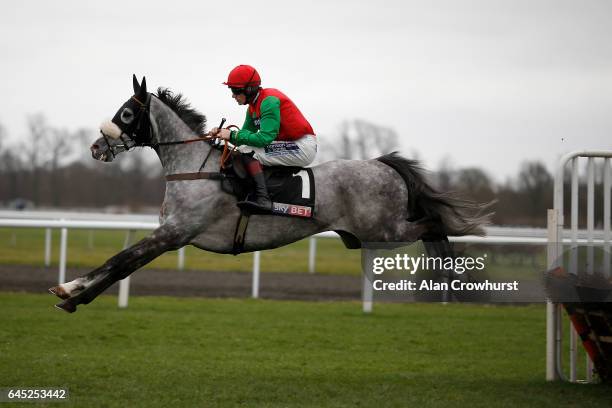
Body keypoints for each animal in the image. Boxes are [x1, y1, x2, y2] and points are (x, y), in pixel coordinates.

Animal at [47, 75, 490, 312]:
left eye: (126, 113)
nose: (96, 147)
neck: (195, 167)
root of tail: (382, 164)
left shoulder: (176, 233)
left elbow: (122, 260)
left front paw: (69, 290)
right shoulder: (173, 235)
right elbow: (125, 263)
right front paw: (72, 295)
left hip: (384, 230)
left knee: (433, 223)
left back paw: (454, 275)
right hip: (366, 235)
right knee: (431, 225)